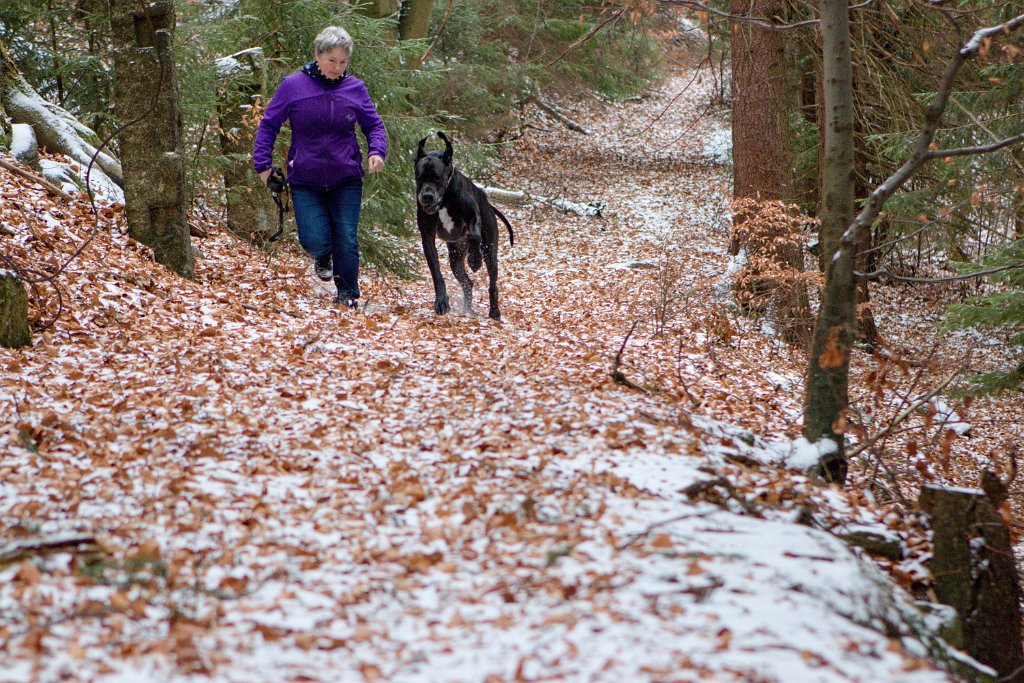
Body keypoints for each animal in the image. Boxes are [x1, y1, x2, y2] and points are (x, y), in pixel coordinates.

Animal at [413, 133, 516, 321]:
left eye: (437, 178)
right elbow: (435, 271)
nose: (427, 196)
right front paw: (441, 301)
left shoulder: (472, 216)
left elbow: (475, 234)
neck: (445, 199)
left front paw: (474, 260)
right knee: (468, 282)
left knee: (492, 283)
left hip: (490, 251)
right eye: (419, 179)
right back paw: (467, 309)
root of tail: (490, 205)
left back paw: (494, 311)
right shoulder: (427, 236)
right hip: (455, 256)